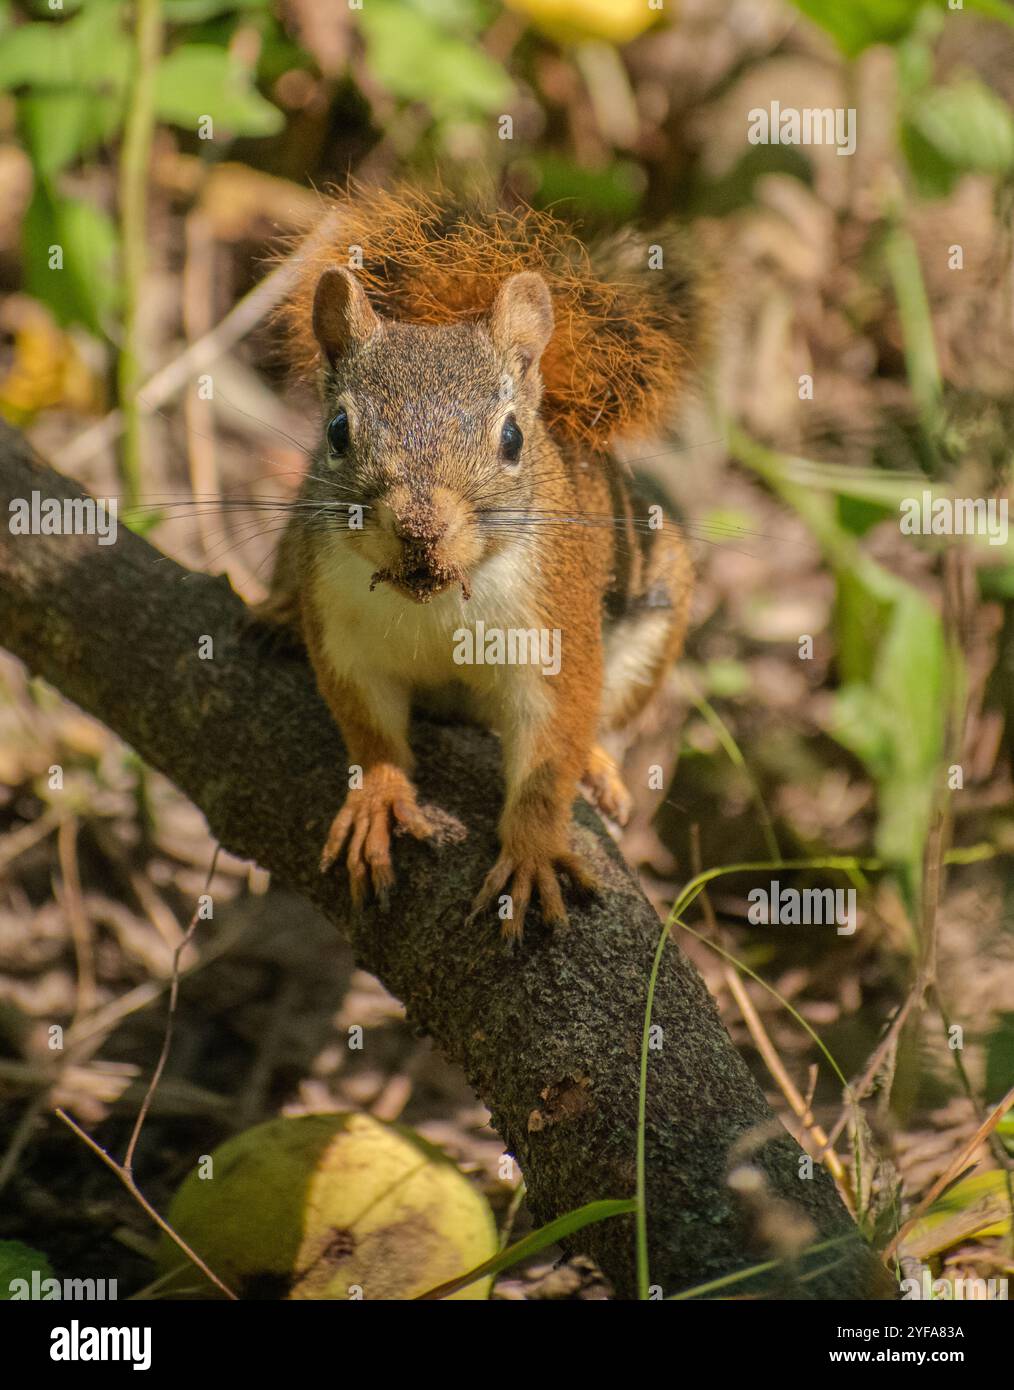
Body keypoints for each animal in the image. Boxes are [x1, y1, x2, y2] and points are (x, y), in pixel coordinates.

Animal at [258, 183, 707, 938]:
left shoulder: (554, 632)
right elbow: (369, 729)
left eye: (513, 438)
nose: (420, 527)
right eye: (338, 430)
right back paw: (277, 614)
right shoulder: (343, 632)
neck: (436, 600)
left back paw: (597, 765)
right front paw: (379, 797)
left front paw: (531, 850)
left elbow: (551, 749)